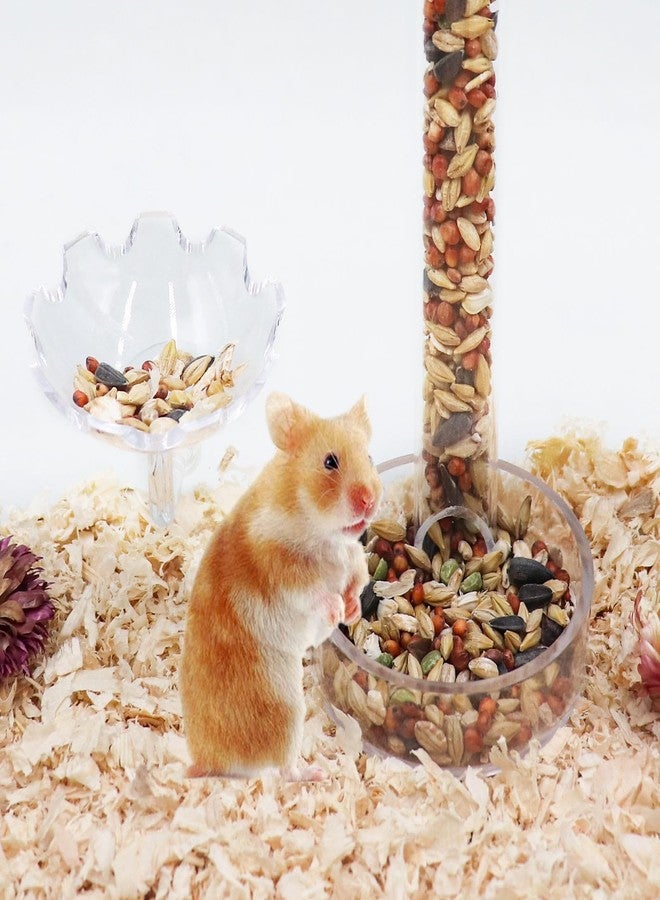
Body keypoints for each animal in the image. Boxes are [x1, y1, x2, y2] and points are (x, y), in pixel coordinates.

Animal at [179, 391, 382, 781]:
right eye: (330, 462)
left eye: (370, 457)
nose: (369, 501)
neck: (323, 531)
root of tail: (208, 763)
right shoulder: (284, 571)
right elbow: (315, 592)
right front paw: (336, 609)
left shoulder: (353, 558)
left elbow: (357, 579)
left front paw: (351, 611)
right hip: (286, 710)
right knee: (284, 771)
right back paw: (318, 773)